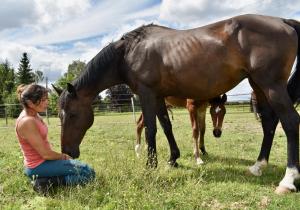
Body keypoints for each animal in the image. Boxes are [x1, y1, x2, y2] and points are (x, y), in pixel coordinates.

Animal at [54, 13, 300, 193]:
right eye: (59, 116)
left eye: (73, 114)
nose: (67, 151)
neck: (127, 53)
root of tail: (283, 21)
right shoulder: (158, 97)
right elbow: (166, 125)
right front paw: (173, 159)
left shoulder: (146, 94)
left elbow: (151, 129)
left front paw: (150, 165)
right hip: (258, 86)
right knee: (269, 122)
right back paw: (258, 166)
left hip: (271, 85)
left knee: (290, 122)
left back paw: (287, 180)